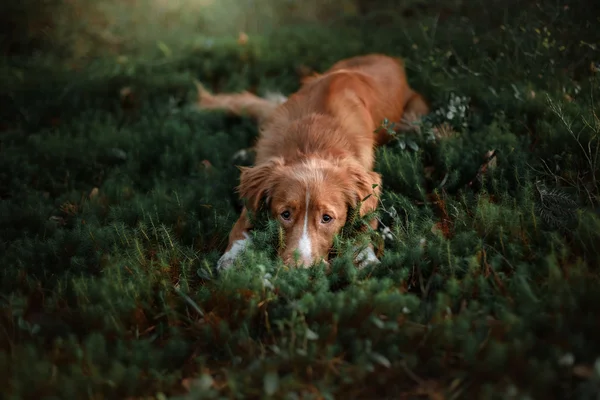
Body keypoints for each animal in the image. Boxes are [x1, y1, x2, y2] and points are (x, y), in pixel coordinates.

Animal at [199, 53, 428, 270]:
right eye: (285, 214)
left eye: (327, 218)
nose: (300, 269)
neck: (313, 141)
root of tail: (392, 59)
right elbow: (242, 224)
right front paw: (233, 258)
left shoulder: (367, 189)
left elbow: (363, 226)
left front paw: (365, 258)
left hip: (414, 118)